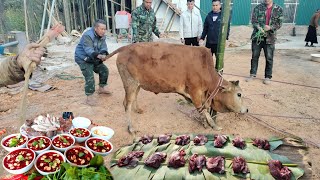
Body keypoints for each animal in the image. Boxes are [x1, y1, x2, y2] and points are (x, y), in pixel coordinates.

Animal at [106, 41, 249, 132]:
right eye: (239, 94)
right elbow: (203, 110)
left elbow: (202, 110)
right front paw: (213, 125)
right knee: (126, 104)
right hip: (130, 82)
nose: (247, 110)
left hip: (137, 84)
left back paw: (138, 109)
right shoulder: (195, 91)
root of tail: (125, 48)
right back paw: (131, 127)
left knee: (134, 97)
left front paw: (205, 123)